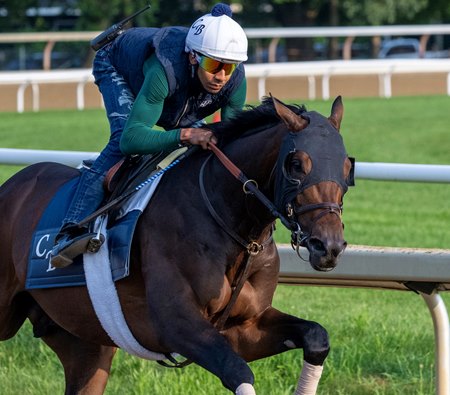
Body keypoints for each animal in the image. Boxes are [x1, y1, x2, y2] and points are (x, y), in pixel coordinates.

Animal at [0, 96, 354, 395]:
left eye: (348, 167)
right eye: (296, 164)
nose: (328, 246)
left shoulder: (244, 326)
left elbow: (316, 336)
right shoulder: (177, 327)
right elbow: (238, 372)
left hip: (83, 339)